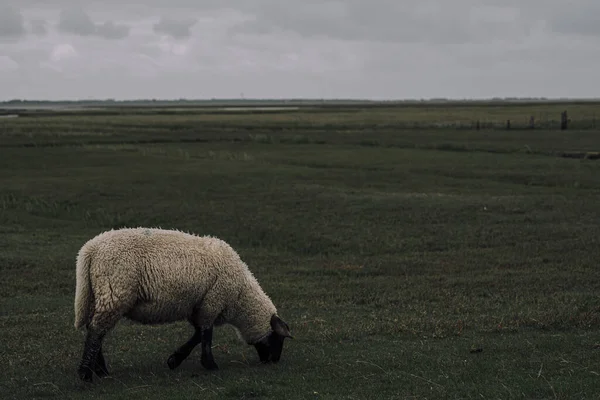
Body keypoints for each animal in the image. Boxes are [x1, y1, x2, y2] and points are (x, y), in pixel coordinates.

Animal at [72, 227, 292, 382]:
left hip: (99, 294)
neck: (240, 297)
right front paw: (210, 364)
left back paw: (100, 370)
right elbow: (206, 335)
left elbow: (197, 334)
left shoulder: (199, 305)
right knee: (96, 331)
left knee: (94, 330)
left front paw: (174, 360)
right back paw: (86, 374)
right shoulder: (213, 301)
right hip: (114, 292)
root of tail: (89, 250)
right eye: (279, 339)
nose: (273, 362)